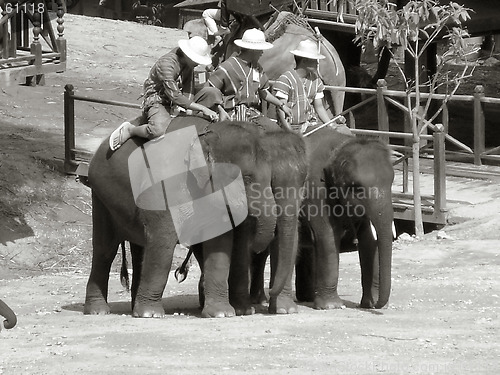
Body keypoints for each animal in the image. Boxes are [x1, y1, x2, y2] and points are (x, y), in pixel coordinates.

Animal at [84, 116, 306, 318]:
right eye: (247, 178)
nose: (269, 293)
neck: (205, 137)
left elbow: (219, 246)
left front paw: (222, 313)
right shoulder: (165, 188)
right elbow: (162, 241)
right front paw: (151, 314)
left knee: (139, 249)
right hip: (100, 196)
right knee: (105, 249)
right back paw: (99, 311)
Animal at [250, 128, 394, 310]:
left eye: (391, 182)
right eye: (357, 187)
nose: (378, 304)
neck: (340, 146)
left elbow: (368, 240)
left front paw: (369, 305)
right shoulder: (317, 191)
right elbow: (327, 236)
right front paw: (332, 306)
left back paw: (306, 298)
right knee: (261, 253)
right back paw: (260, 300)